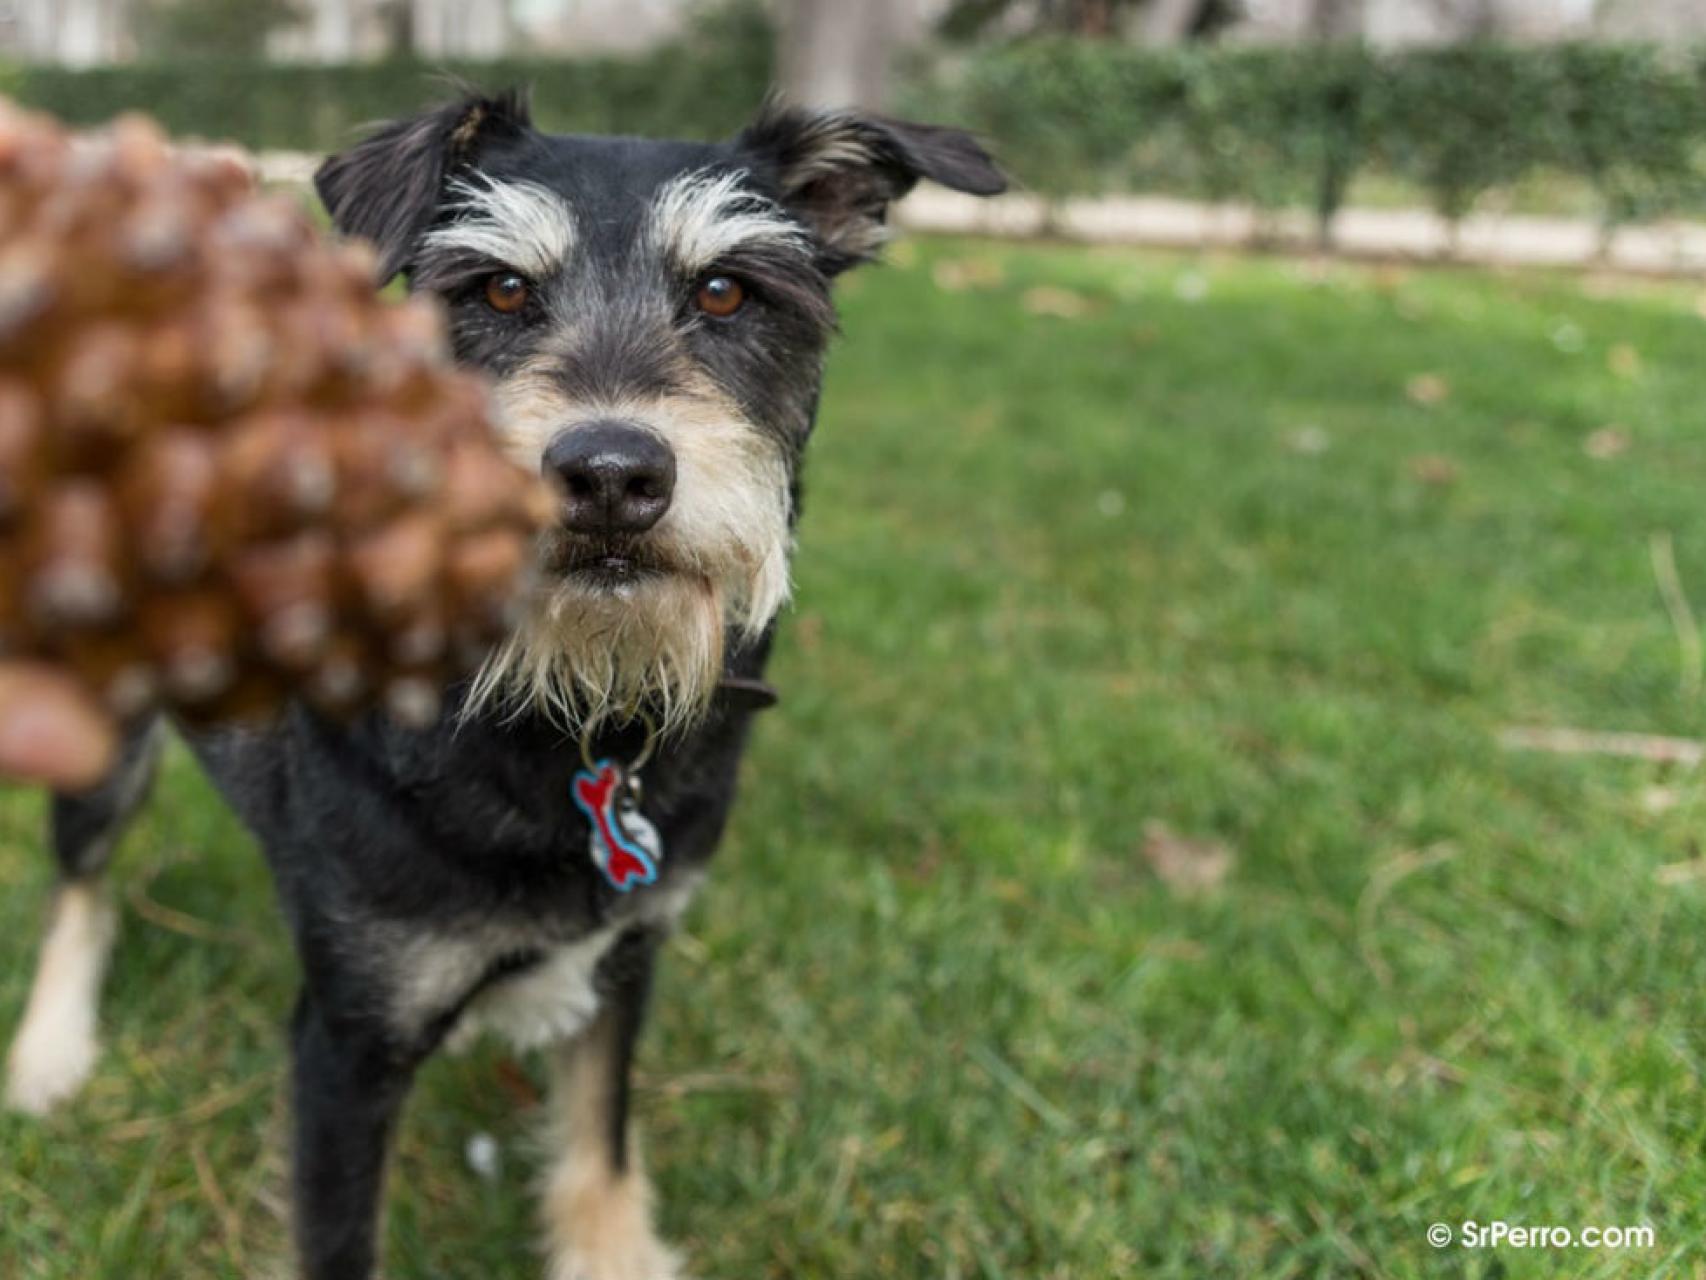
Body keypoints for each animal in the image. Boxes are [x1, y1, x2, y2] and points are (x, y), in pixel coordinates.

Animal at [3, 92, 996, 1280]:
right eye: (500, 289)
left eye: (725, 290)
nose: (610, 474)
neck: (566, 712)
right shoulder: (350, 1039)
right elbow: (339, 1237)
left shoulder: (626, 954)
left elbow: (600, 1138)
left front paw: (612, 1248)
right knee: (80, 881)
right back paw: (50, 1051)